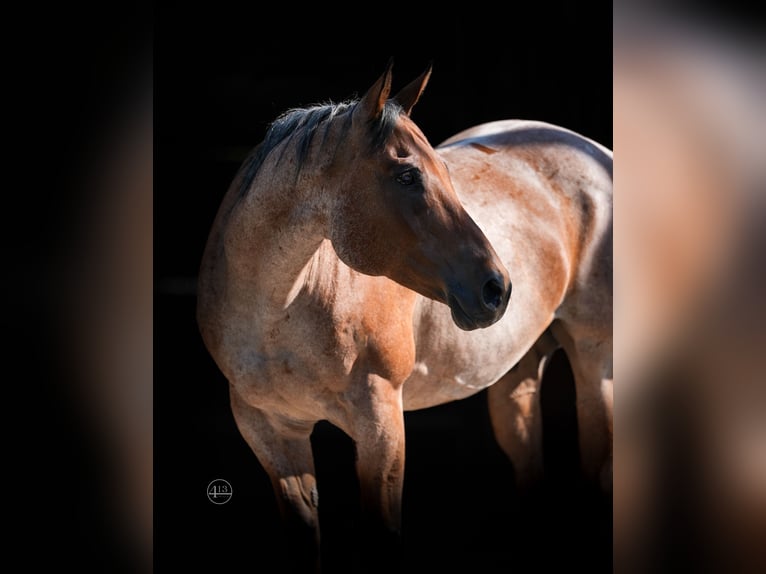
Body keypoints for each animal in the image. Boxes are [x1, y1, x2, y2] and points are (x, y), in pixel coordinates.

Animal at [196, 60, 612, 572]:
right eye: (408, 176)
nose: (497, 289)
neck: (280, 317)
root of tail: (597, 154)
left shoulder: (381, 426)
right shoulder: (270, 434)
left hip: (595, 364)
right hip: (516, 378)